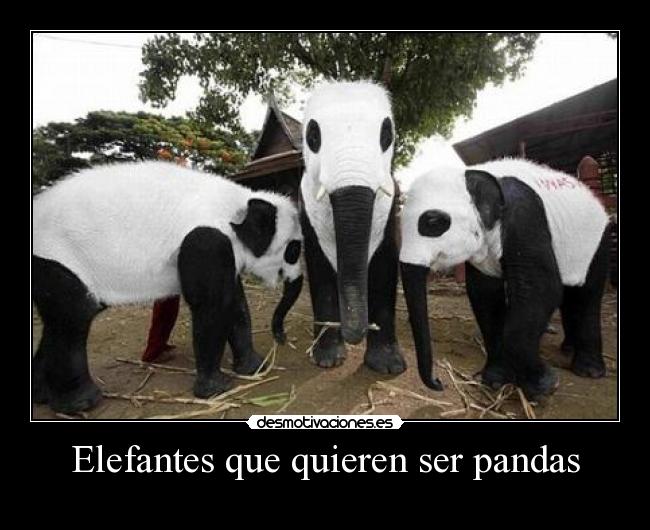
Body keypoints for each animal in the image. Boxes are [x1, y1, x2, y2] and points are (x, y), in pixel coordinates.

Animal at [32, 161, 303, 414]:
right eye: (293, 250)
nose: (282, 337)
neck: (239, 203)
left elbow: (234, 302)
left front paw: (255, 367)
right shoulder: (205, 239)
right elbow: (211, 305)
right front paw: (216, 389)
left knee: (60, 321)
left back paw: (42, 395)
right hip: (60, 258)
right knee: (72, 319)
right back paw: (81, 402)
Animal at [399, 158, 611, 399]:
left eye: (433, 222)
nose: (438, 382)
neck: (472, 175)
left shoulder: (525, 215)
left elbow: (540, 289)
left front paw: (544, 384)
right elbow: (486, 296)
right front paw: (496, 379)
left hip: (594, 242)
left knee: (587, 295)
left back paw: (589, 369)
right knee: (570, 296)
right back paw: (568, 348)